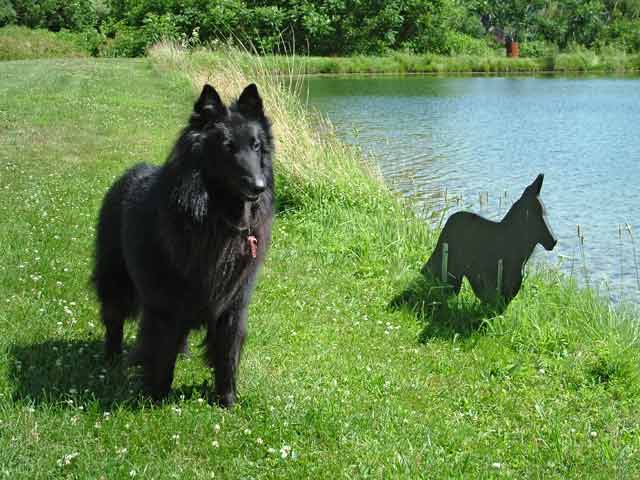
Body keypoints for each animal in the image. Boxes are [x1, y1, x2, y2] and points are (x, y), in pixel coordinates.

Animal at [91, 84, 274, 406]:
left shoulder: (233, 305)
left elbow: (226, 356)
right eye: (227, 146)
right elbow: (161, 354)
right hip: (116, 279)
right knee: (113, 320)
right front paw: (156, 398)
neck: (216, 219)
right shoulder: (165, 305)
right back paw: (112, 360)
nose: (259, 186)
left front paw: (227, 401)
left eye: (256, 146)